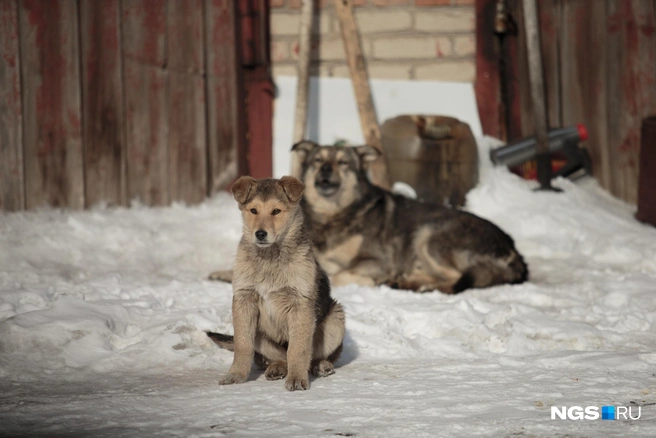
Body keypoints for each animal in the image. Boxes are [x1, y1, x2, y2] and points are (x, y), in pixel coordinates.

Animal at [208, 176, 346, 392]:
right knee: (279, 357)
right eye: (253, 210)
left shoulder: (300, 303)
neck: (270, 257)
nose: (260, 234)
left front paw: (297, 379)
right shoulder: (244, 300)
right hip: (261, 335)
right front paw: (235, 375)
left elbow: (298, 348)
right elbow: (242, 345)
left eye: (276, 211)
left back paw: (322, 366)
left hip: (336, 319)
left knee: (318, 356)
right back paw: (276, 368)